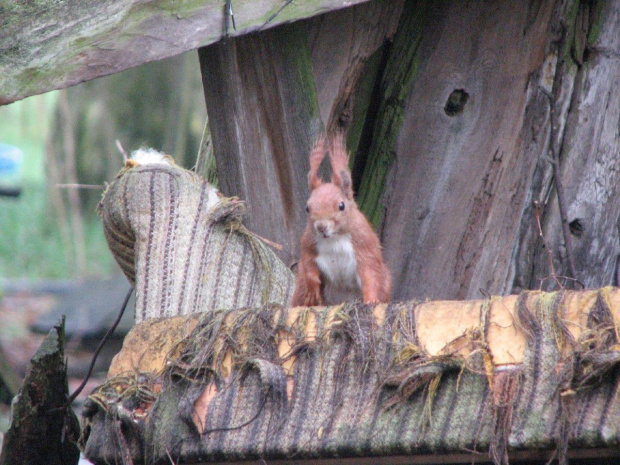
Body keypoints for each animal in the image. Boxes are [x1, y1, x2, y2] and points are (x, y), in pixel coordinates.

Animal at [292, 132, 390, 306]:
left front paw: (371, 300)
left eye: (341, 205)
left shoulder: (364, 244)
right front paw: (312, 288)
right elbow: (309, 264)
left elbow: (369, 274)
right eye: (307, 208)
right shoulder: (309, 243)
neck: (334, 238)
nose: (321, 227)